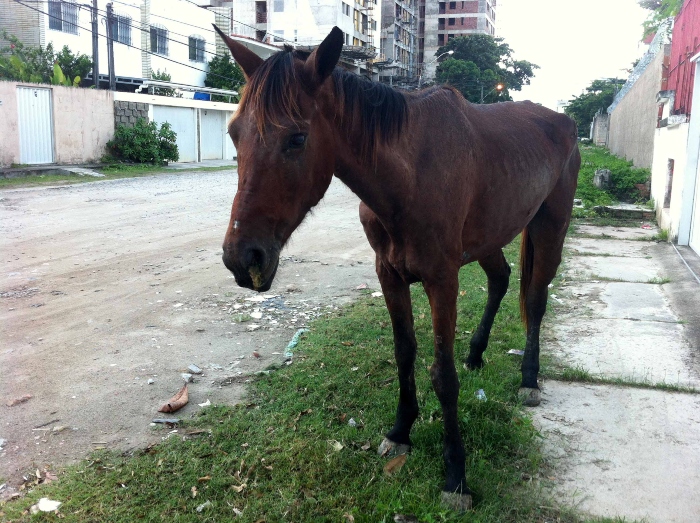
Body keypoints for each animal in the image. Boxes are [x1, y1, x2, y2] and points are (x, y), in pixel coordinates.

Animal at [217, 25, 580, 512]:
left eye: (296, 138)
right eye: (234, 133)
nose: (243, 259)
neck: (410, 174)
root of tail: (562, 122)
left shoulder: (442, 279)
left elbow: (442, 375)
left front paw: (455, 475)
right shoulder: (388, 274)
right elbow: (404, 351)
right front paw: (401, 431)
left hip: (549, 227)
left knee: (536, 300)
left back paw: (529, 378)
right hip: (490, 237)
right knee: (501, 280)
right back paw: (477, 353)